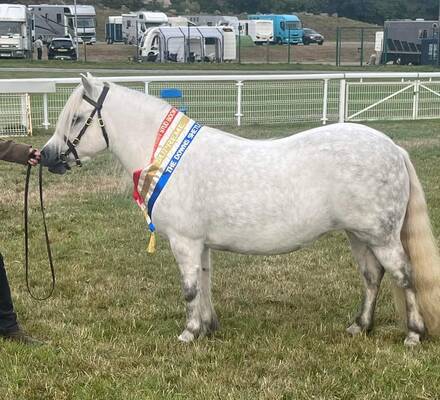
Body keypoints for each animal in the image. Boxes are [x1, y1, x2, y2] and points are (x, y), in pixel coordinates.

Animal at [42, 76, 440, 346]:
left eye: (77, 118)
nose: (46, 157)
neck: (171, 158)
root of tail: (393, 148)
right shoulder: (199, 244)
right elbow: (204, 282)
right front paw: (207, 327)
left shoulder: (184, 241)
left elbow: (189, 288)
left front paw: (189, 333)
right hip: (359, 235)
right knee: (373, 277)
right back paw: (360, 326)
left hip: (381, 236)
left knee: (404, 276)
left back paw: (413, 334)